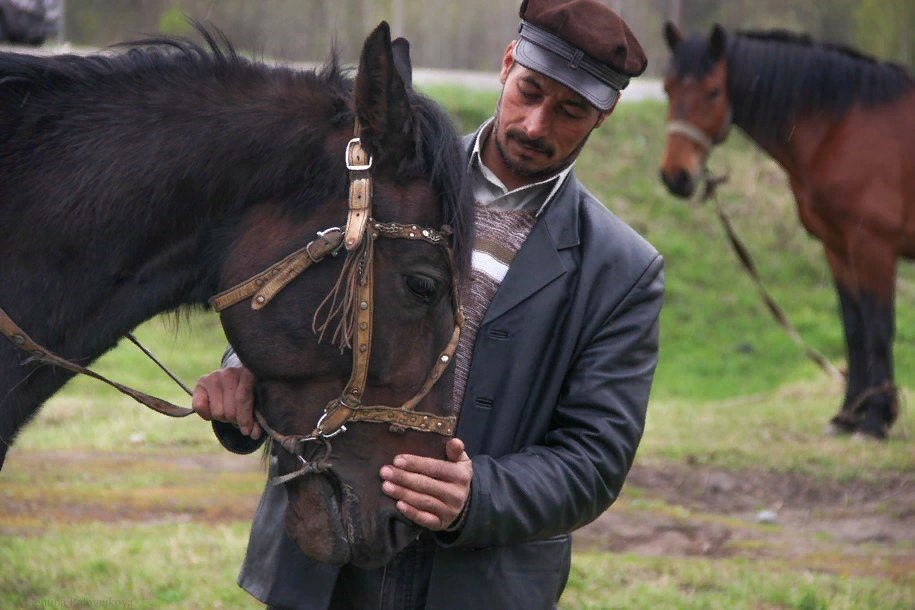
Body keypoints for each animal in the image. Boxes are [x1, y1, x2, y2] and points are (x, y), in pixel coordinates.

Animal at [660, 20, 915, 436]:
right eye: (667, 88)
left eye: (713, 91)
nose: (675, 177)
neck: (843, 126)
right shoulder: (837, 246)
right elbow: (854, 329)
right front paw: (848, 416)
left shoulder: (873, 245)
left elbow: (878, 328)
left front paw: (876, 420)